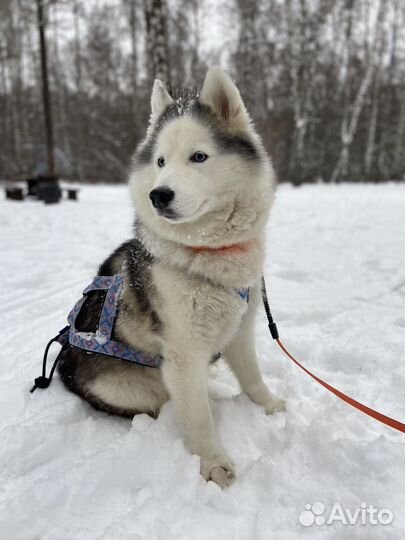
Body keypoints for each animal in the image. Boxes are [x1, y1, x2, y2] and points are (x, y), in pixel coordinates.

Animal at [57, 68, 284, 490]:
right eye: (160, 161)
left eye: (199, 156)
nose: (158, 195)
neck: (207, 253)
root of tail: (64, 367)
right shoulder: (182, 354)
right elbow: (198, 418)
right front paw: (213, 463)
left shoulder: (240, 331)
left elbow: (252, 377)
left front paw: (269, 405)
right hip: (141, 388)